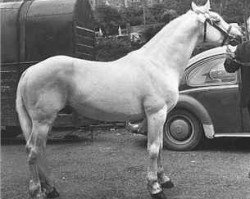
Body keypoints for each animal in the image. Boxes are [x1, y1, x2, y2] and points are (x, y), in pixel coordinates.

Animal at [16, 0, 242, 198]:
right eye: (216, 19)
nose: (239, 36)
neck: (159, 62)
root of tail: (29, 71)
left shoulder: (162, 115)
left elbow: (160, 146)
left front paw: (165, 179)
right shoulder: (156, 113)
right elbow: (153, 149)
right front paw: (155, 187)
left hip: (43, 122)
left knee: (40, 150)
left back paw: (50, 189)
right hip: (43, 120)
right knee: (33, 151)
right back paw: (37, 191)